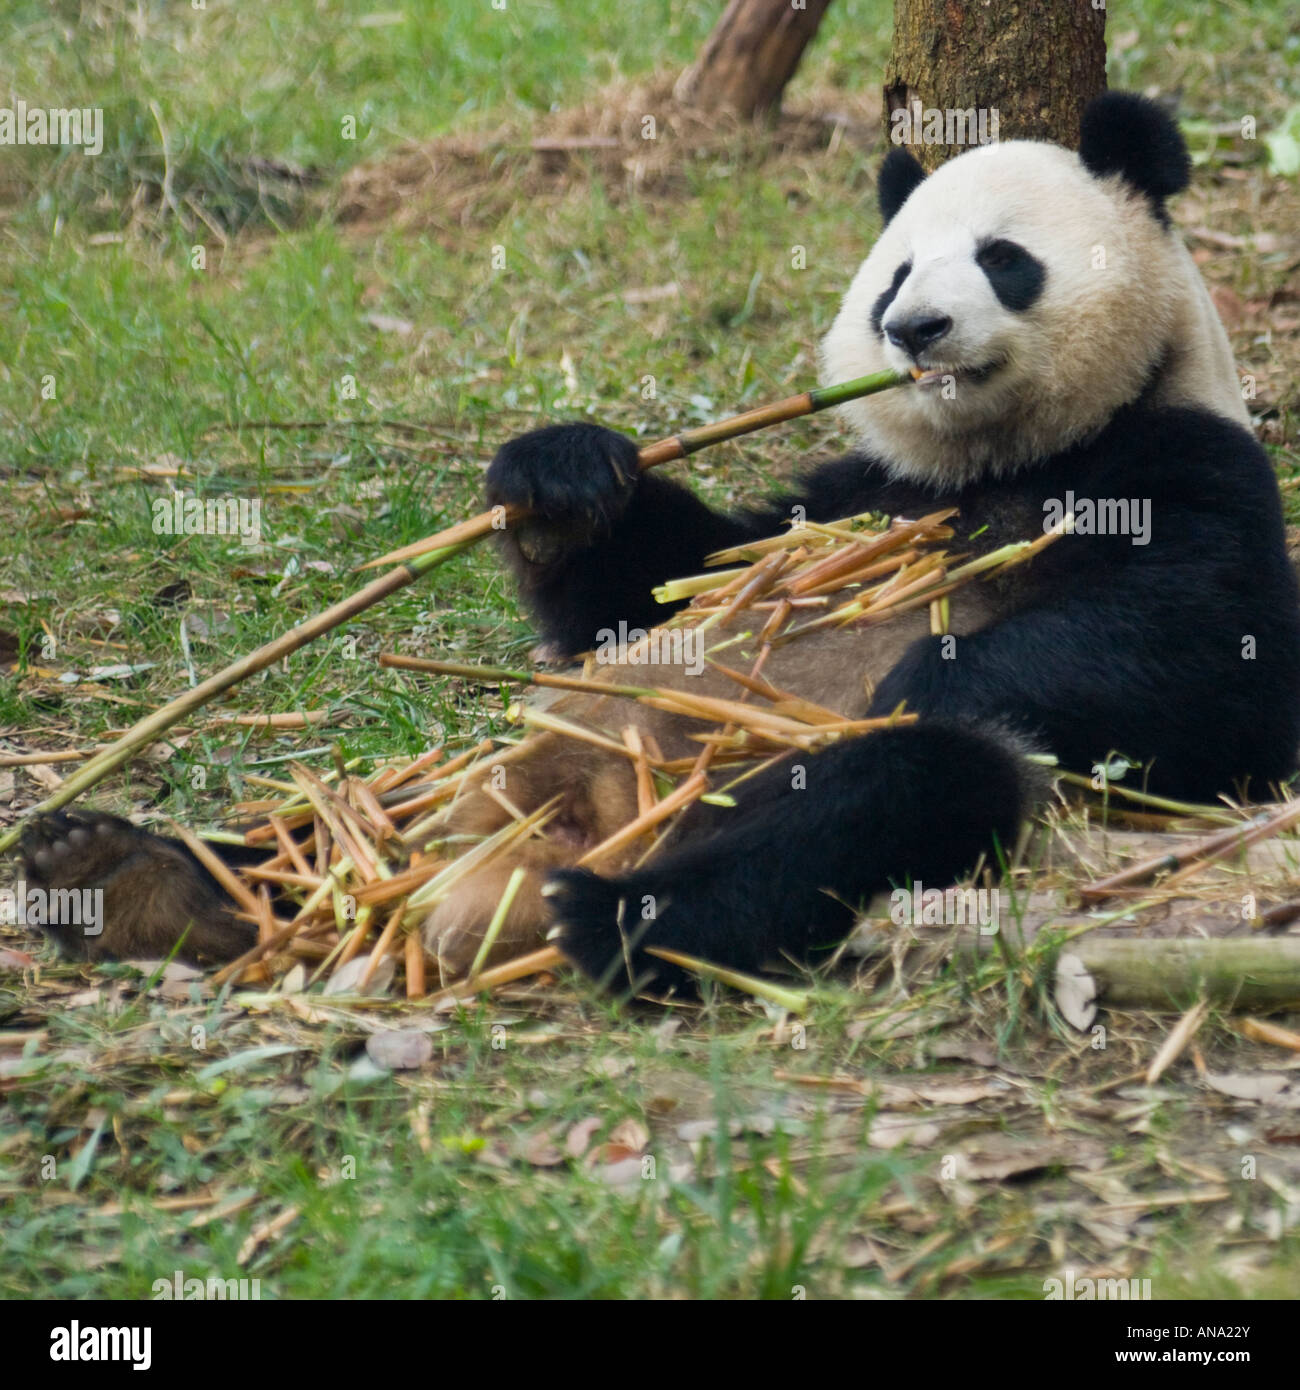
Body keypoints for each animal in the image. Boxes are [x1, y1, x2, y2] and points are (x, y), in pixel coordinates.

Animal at [15, 92, 1300, 995]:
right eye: (892, 269)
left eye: (1001, 258)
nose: (913, 327)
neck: (1000, 459)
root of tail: (520, 853)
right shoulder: (860, 493)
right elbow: (664, 584)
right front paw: (560, 476)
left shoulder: (1183, 462)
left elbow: (1206, 662)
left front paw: (933, 663)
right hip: (449, 782)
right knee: (328, 824)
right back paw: (126, 874)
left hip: (764, 797)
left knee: (908, 783)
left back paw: (624, 916)